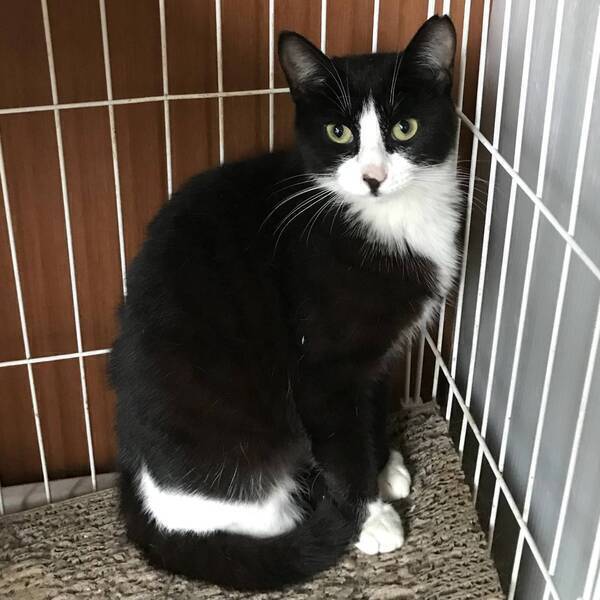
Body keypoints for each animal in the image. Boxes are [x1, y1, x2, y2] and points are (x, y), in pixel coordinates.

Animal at [110, 15, 461, 591]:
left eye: (405, 129)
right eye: (339, 133)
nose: (374, 177)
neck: (386, 221)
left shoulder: (376, 352)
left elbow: (370, 405)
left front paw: (383, 463)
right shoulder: (321, 362)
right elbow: (340, 441)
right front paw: (370, 516)